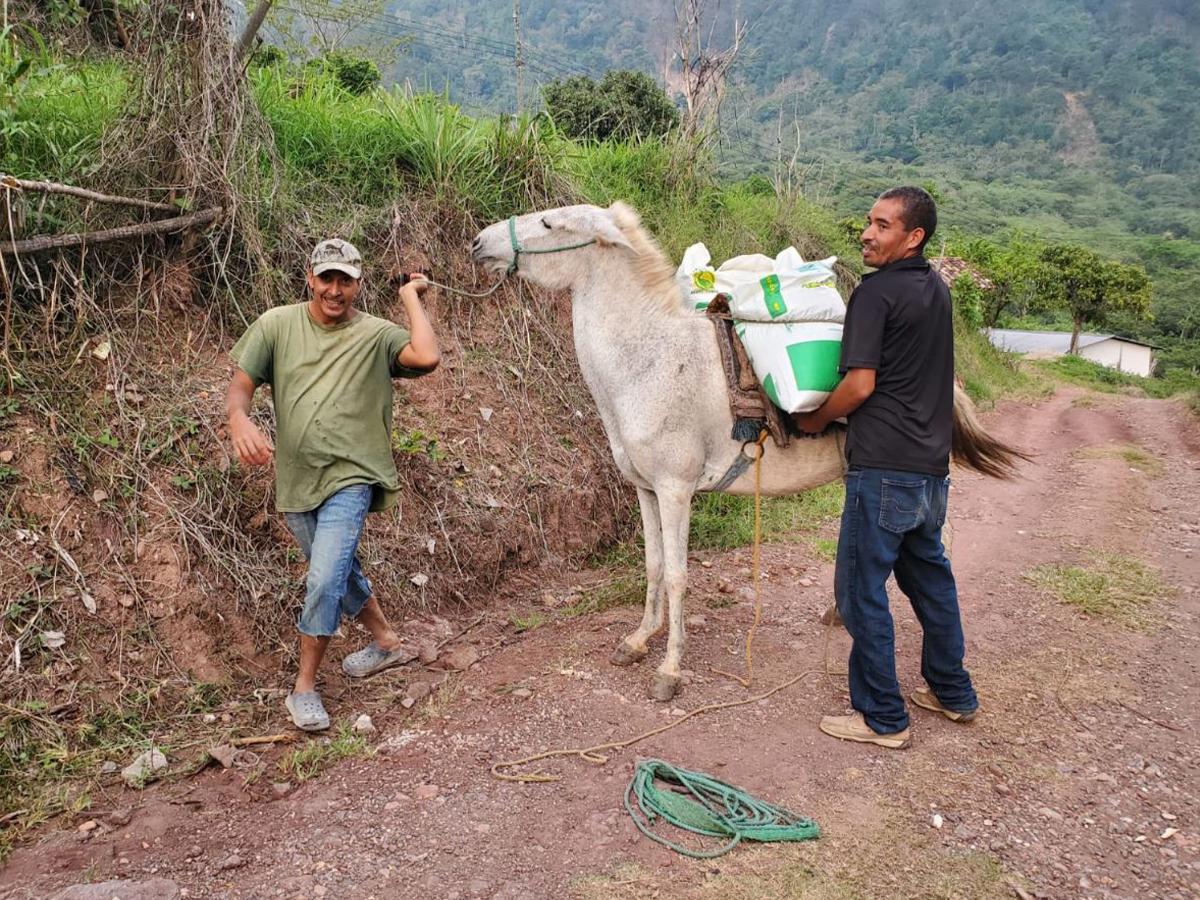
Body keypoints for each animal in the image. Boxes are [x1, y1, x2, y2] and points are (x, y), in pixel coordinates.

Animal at [472, 200, 1017, 700]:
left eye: (549, 222)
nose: (479, 243)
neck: (648, 360)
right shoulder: (646, 490)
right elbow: (652, 565)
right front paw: (639, 640)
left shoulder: (676, 490)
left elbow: (677, 575)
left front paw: (670, 669)